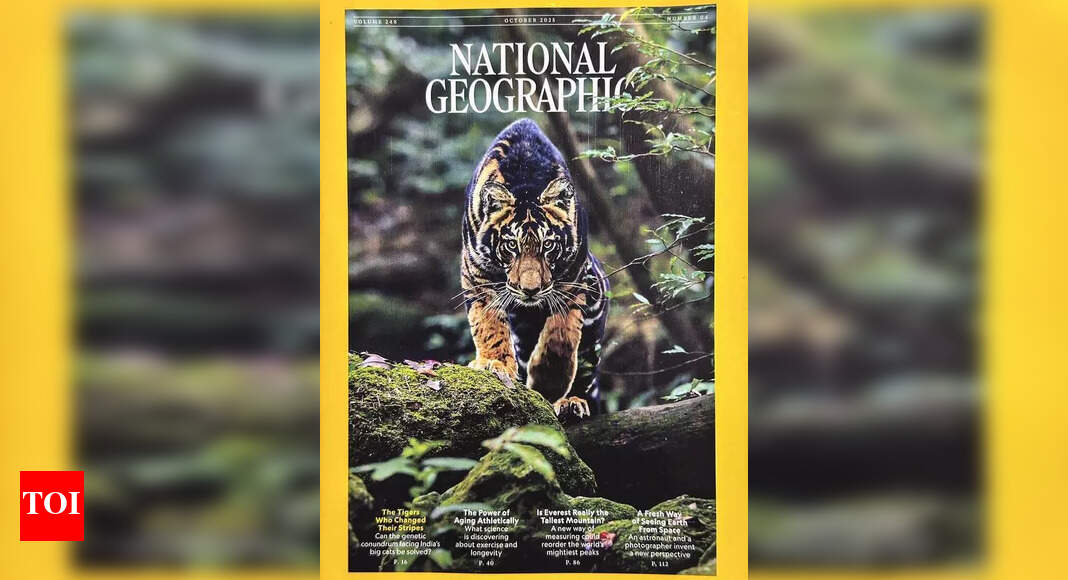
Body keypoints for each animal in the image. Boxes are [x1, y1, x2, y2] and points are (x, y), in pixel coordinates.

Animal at [460, 118, 609, 419]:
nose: (530, 290)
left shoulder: (573, 280)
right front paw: (494, 364)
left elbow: (562, 336)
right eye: (511, 246)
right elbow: (488, 324)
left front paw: (549, 383)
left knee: (585, 368)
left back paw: (571, 402)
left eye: (548, 245)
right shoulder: (477, 275)